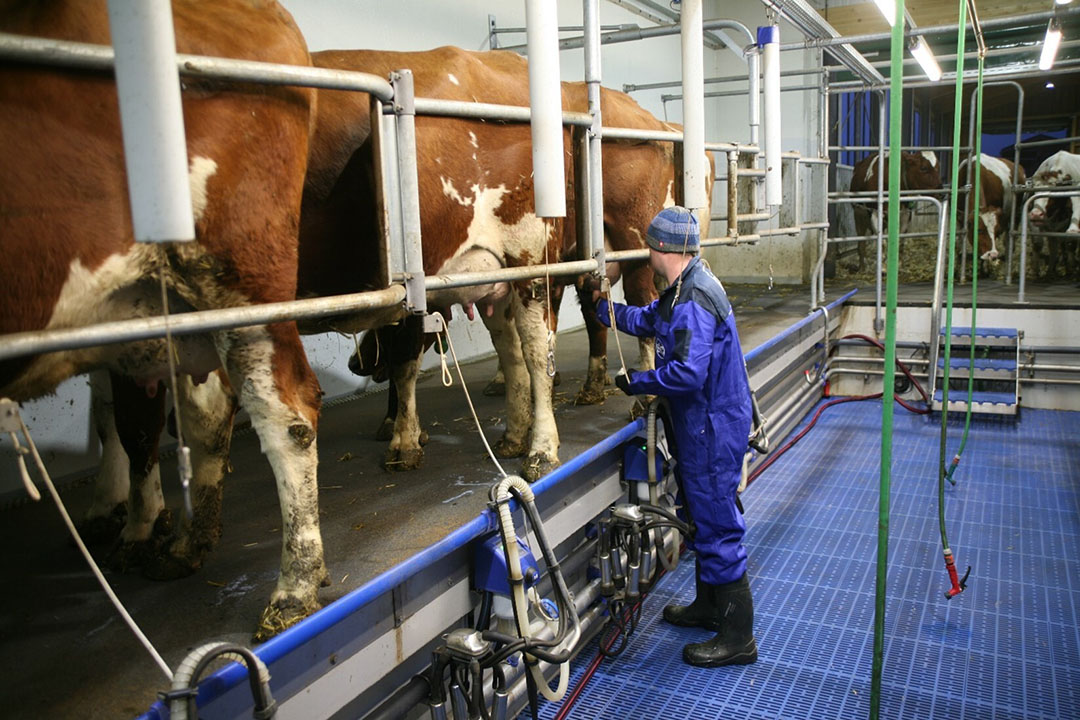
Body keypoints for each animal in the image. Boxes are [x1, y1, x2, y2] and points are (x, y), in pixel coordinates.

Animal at [1, 1, 328, 643]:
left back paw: (294, 588)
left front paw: (131, 524)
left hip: (240, 283)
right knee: (192, 417)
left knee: (289, 416)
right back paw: (184, 542)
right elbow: (127, 428)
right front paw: (134, 527)